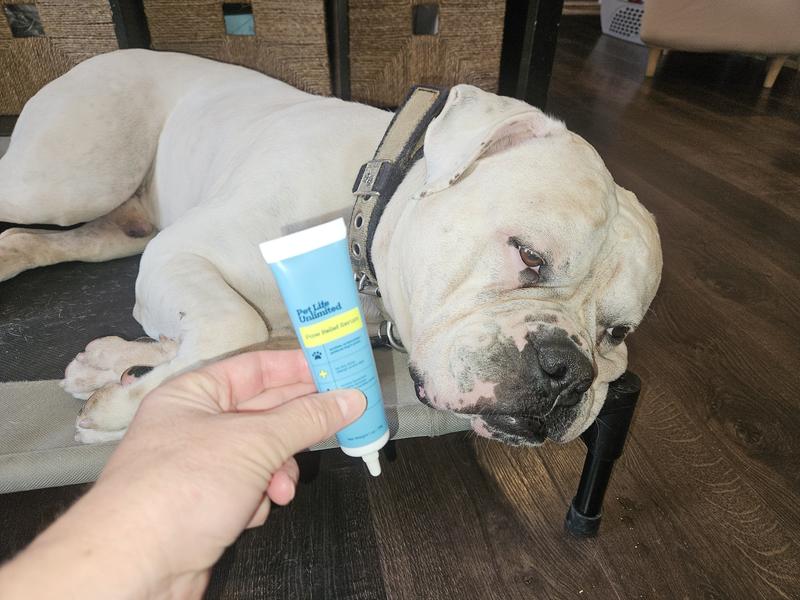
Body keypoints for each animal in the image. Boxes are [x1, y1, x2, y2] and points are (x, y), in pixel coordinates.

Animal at [0, 50, 662, 445]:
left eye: (617, 333)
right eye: (528, 255)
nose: (567, 371)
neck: (368, 201)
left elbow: (224, 348)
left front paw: (115, 368)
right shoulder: (179, 255)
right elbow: (232, 326)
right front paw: (122, 407)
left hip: (113, 225)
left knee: (42, 240)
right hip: (70, 182)